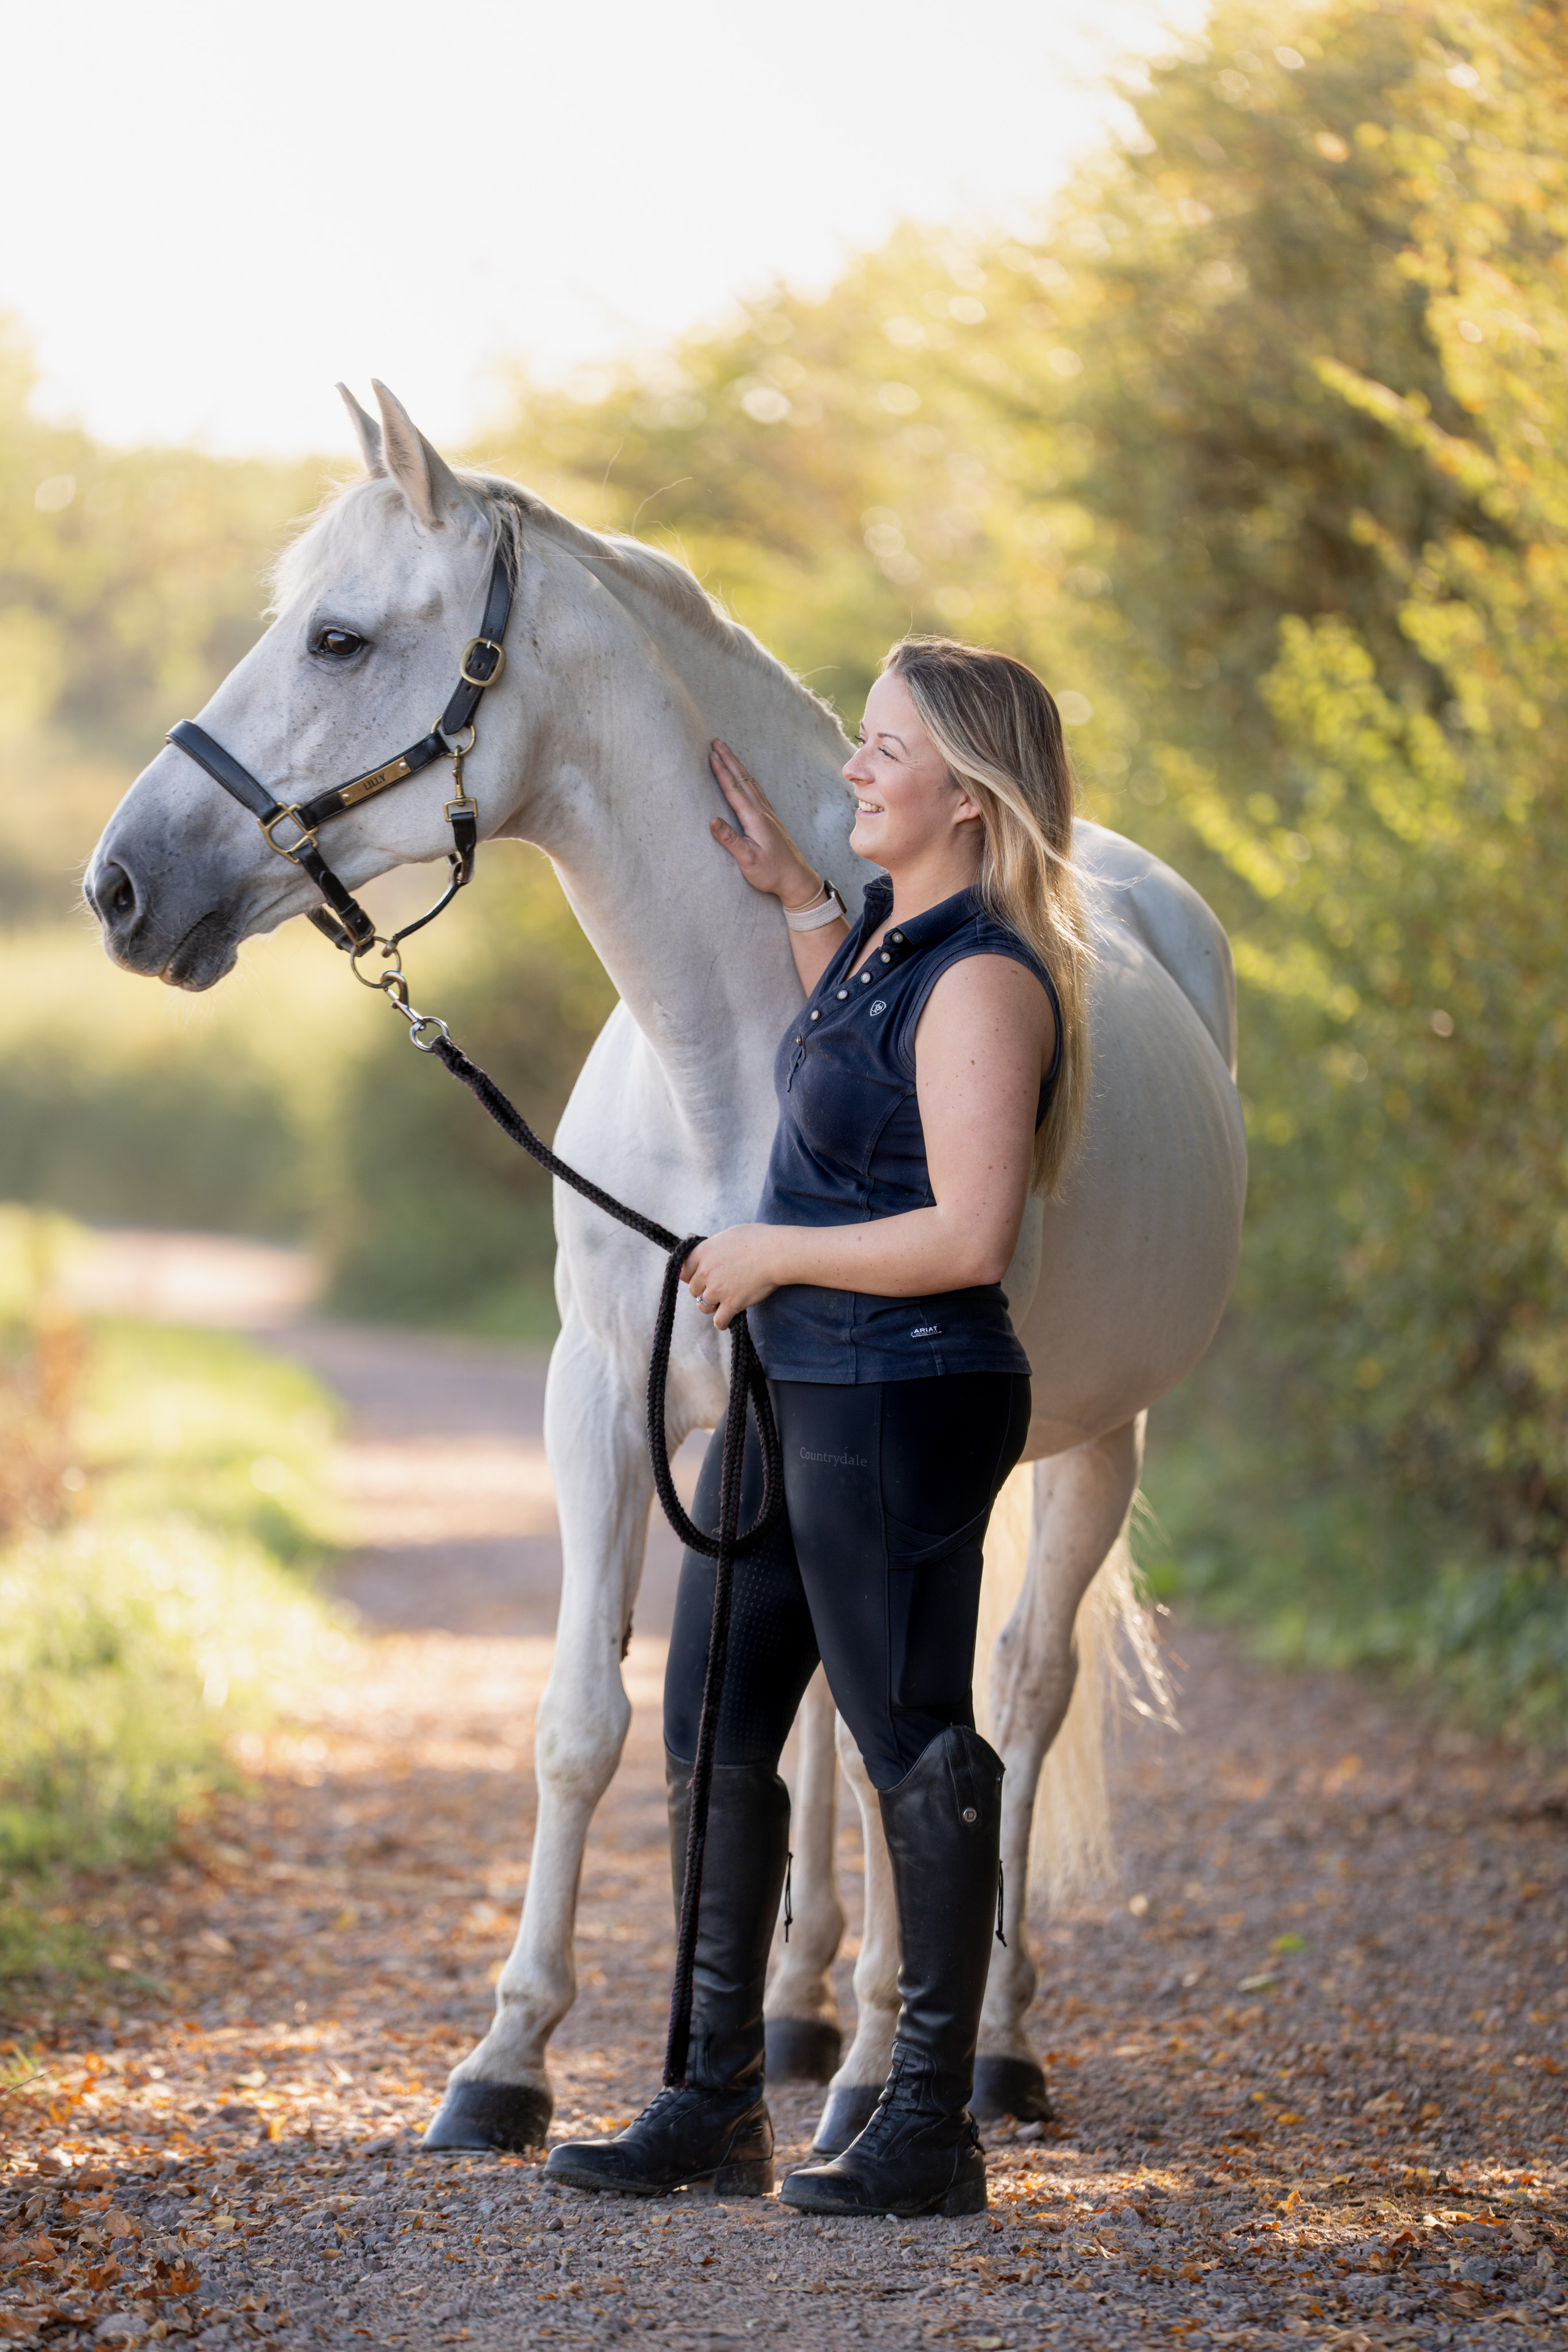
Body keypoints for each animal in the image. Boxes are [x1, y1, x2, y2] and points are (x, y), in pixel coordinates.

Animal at [85, 382, 1246, 2155]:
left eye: (340, 638)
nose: (122, 884)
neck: (744, 1065)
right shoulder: (603, 1405)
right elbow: (590, 1722)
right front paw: (505, 2064)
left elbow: (925, 1736)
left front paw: (873, 2081)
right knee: (832, 1713)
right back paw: (798, 2008)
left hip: (1089, 1442)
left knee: (1024, 1694)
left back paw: (981, 2045)